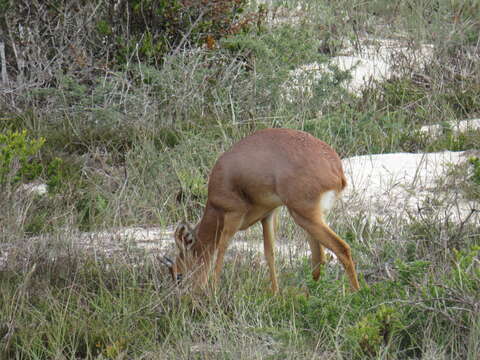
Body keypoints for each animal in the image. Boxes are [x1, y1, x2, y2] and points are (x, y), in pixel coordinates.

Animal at [162, 129, 360, 292]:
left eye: (178, 275)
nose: (184, 298)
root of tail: (336, 170)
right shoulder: (268, 215)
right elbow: (269, 253)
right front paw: (275, 293)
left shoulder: (233, 215)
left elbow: (222, 248)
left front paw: (213, 288)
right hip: (310, 219)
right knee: (319, 256)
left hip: (305, 216)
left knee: (341, 248)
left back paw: (356, 292)